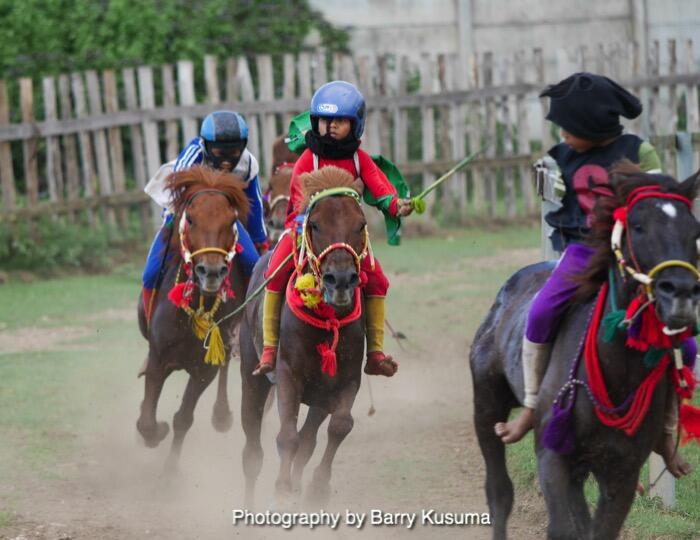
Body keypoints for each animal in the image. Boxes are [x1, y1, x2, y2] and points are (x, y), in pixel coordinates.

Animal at [137, 167, 249, 470]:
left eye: (231, 220)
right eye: (190, 218)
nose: (211, 271)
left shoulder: (203, 370)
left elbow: (183, 418)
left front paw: (170, 471)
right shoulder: (159, 357)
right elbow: (147, 420)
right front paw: (155, 429)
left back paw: (222, 415)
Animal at [241, 165, 370, 506]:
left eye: (360, 224)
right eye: (315, 224)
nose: (341, 279)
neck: (326, 322)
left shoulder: (342, 381)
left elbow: (338, 426)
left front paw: (317, 487)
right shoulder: (288, 374)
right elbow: (287, 437)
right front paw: (283, 487)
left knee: (309, 438)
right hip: (252, 374)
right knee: (252, 445)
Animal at [470, 167, 700, 536]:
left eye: (694, 231)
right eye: (638, 226)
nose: (680, 292)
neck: (617, 371)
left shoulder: (622, 471)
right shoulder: (554, 456)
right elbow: (563, 527)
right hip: (486, 402)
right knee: (499, 491)